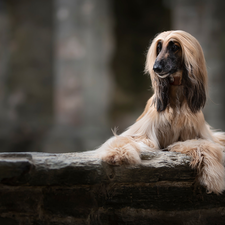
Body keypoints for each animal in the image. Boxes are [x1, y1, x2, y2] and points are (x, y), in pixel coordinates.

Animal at [96, 29, 225, 194]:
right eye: (158, 47)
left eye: (174, 47)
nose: (156, 68)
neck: (177, 101)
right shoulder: (145, 133)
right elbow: (126, 139)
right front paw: (117, 153)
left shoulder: (195, 134)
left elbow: (205, 145)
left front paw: (213, 175)